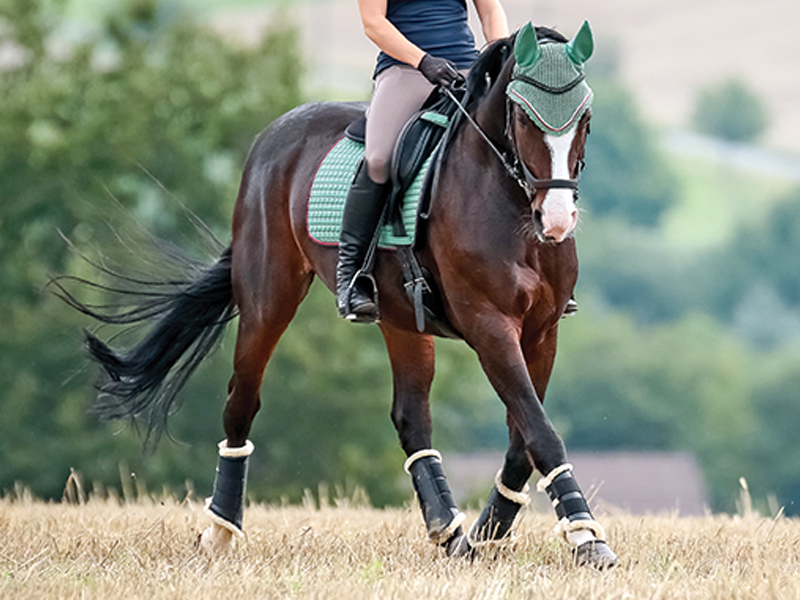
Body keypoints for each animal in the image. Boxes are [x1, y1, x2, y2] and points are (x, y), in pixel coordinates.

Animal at [57, 22, 617, 568]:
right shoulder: (489, 325)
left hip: (401, 319)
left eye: (585, 118)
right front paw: (586, 537)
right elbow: (540, 429)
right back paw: (220, 530)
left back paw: (449, 533)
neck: (509, 206)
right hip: (268, 299)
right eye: (522, 116)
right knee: (241, 402)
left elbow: (525, 438)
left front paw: (489, 534)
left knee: (411, 418)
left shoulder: (542, 331)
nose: (557, 219)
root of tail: (274, 134)